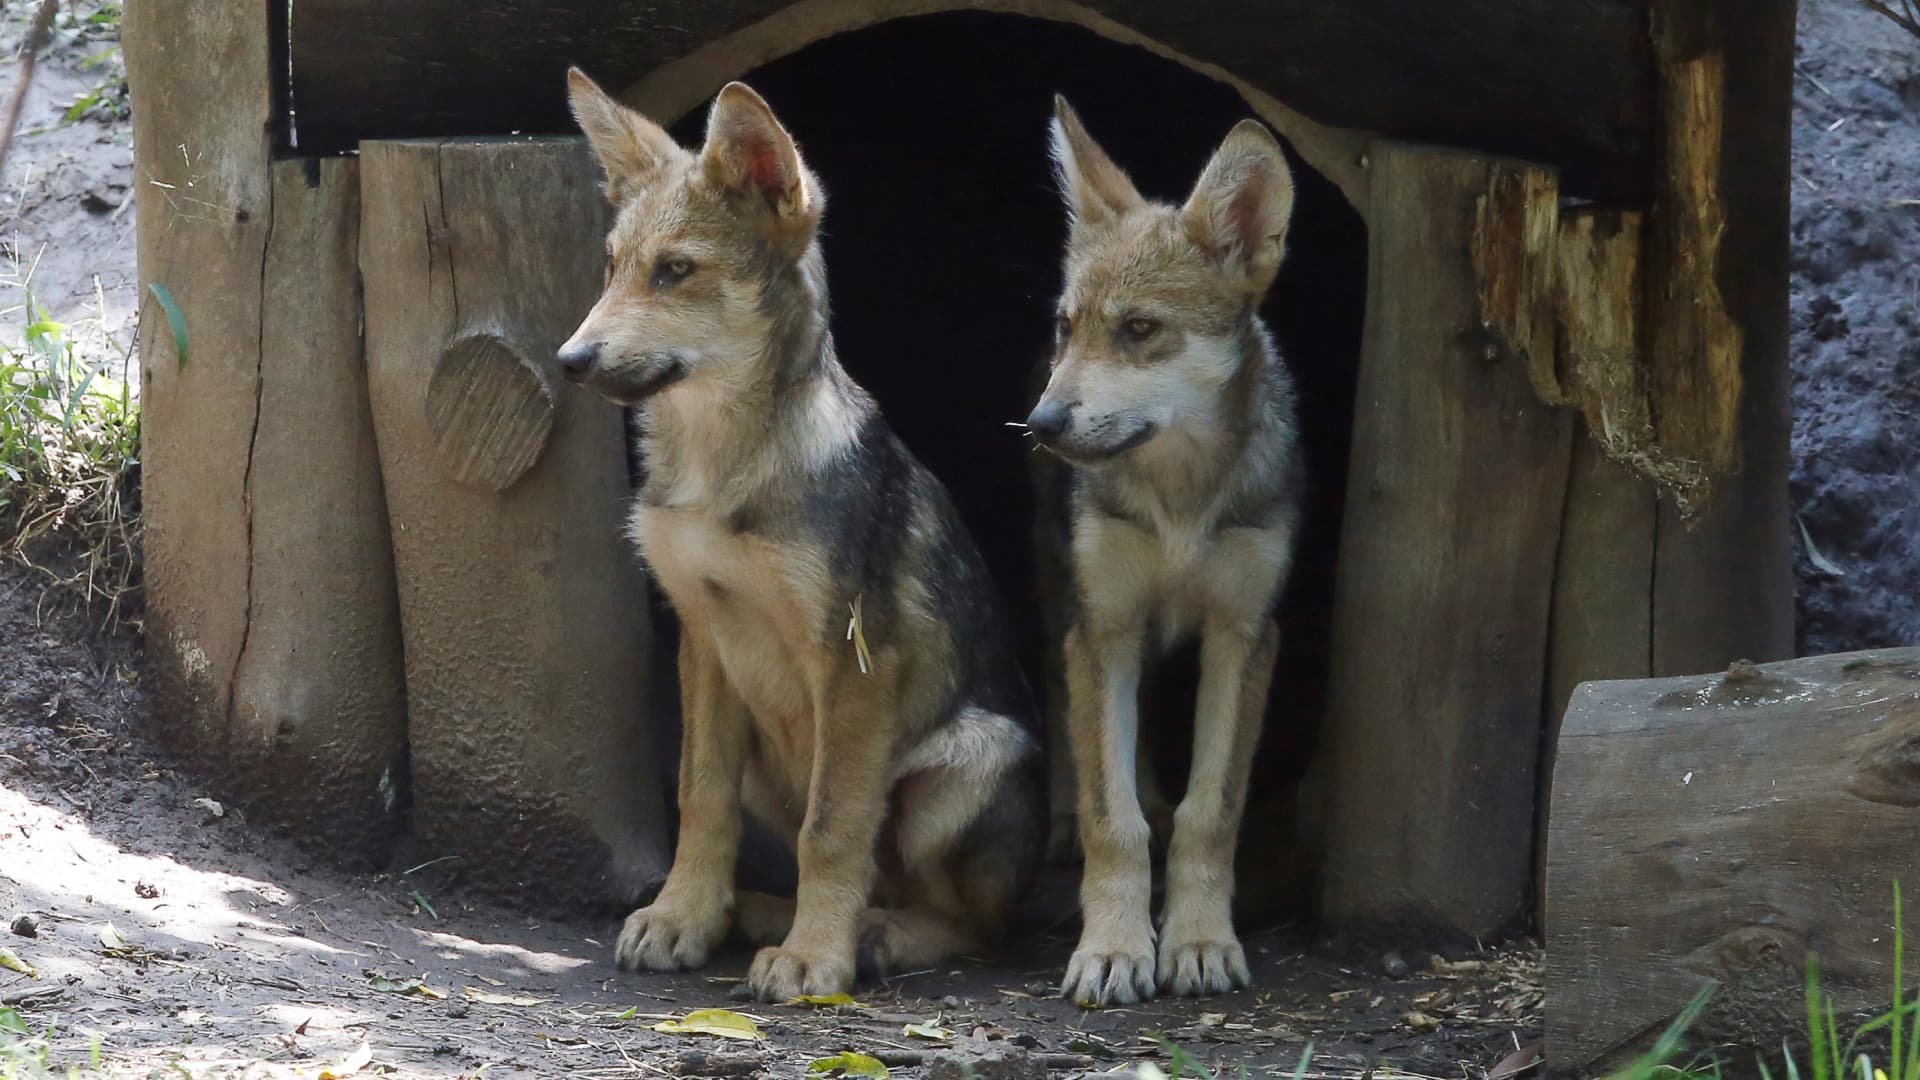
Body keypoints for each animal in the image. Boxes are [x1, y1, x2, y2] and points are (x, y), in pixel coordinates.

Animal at [556, 70, 1043, 1001]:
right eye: (611, 268)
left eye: (676, 272)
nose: (572, 360)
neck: (718, 467)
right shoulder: (704, 641)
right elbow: (699, 800)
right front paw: (684, 915)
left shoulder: (855, 662)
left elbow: (833, 827)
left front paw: (817, 957)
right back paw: (758, 912)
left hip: (967, 762)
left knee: (978, 923)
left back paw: (875, 936)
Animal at [1028, 96, 1304, 1007]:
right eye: (1067, 328)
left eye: (1140, 330)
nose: (1040, 424)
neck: (1180, 500)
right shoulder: (1103, 630)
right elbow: (1112, 818)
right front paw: (1113, 949)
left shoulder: (1244, 635)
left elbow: (1205, 815)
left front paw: (1200, 942)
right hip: (1067, 607)